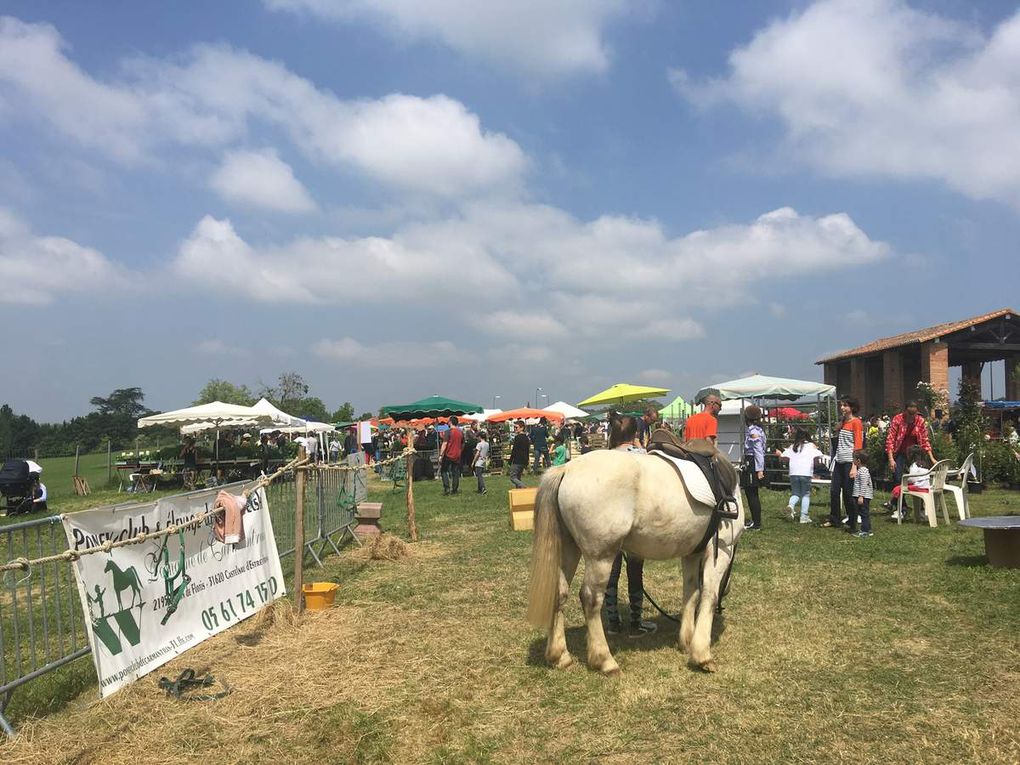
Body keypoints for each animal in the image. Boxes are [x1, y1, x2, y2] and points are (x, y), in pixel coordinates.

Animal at [526, 446, 742, 673]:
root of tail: (567, 468)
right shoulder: (722, 550)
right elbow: (709, 595)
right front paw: (702, 655)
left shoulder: (692, 553)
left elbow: (691, 593)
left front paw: (687, 641)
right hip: (601, 556)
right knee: (591, 598)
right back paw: (605, 660)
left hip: (569, 549)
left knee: (560, 593)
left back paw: (559, 656)